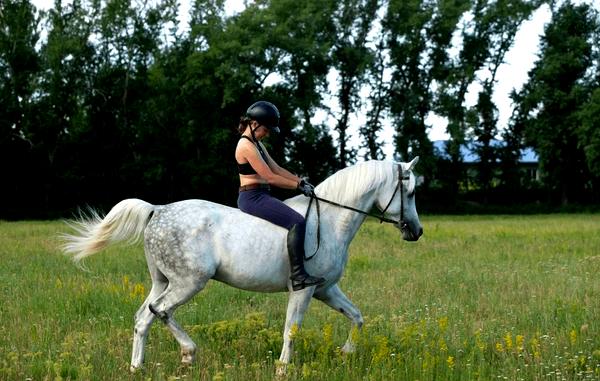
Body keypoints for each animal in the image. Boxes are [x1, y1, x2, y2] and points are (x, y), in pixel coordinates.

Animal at [62, 157, 422, 372]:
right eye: (410, 191)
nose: (416, 232)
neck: (331, 220)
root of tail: (158, 209)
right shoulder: (303, 290)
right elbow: (291, 329)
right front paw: (283, 369)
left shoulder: (326, 289)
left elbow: (357, 317)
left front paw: (346, 353)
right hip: (188, 282)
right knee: (160, 311)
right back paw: (188, 351)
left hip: (162, 281)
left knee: (142, 318)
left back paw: (138, 367)